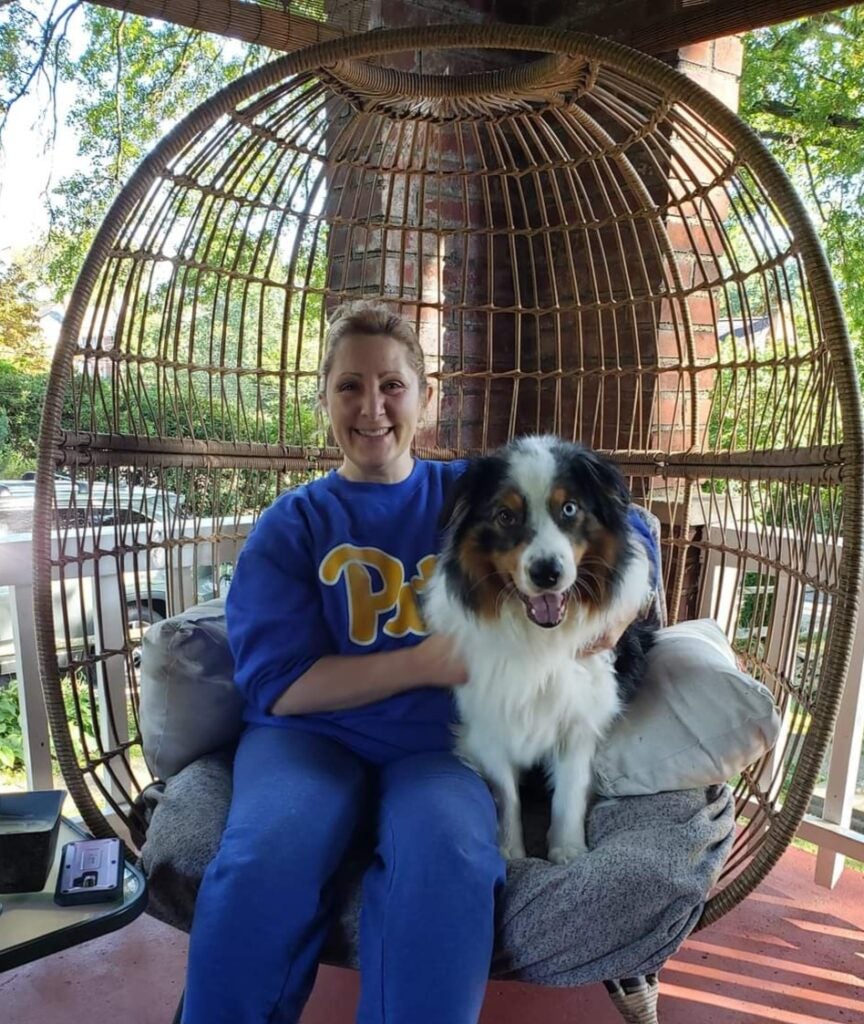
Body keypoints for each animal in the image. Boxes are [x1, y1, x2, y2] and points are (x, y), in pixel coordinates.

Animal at [423, 434, 655, 864]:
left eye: (569, 508)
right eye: (504, 516)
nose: (547, 573)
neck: (539, 638)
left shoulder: (580, 718)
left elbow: (569, 793)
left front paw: (568, 851)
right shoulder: (490, 720)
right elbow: (506, 794)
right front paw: (512, 852)